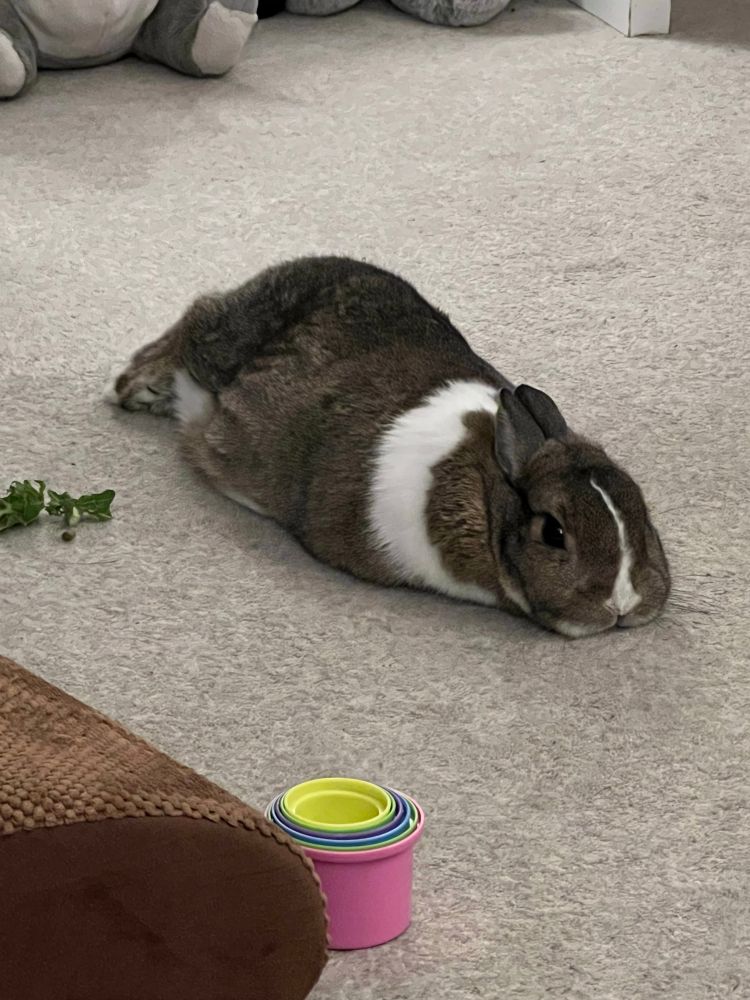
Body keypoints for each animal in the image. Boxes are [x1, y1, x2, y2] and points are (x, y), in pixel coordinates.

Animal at [108, 255, 670, 637]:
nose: (621, 604)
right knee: (193, 322)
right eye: (553, 532)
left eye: (642, 509)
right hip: (215, 345)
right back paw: (136, 387)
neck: (488, 495)